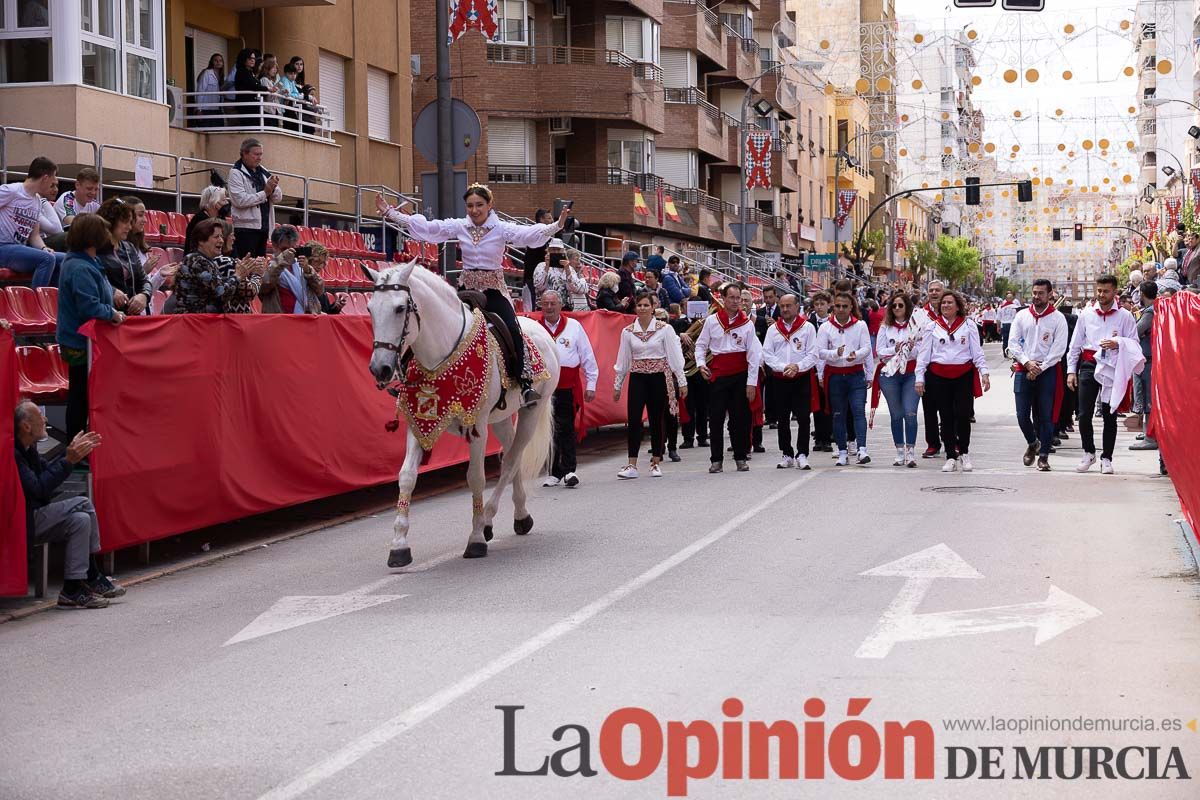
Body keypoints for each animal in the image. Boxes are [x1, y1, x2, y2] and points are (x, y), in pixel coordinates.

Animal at [362, 261, 559, 563]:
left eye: (399, 308)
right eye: (370, 308)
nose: (379, 369)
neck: (440, 353)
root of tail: (540, 327)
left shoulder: (476, 426)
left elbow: (476, 478)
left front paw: (476, 538)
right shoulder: (418, 423)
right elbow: (406, 477)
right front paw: (399, 545)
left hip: (532, 411)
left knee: (511, 461)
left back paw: (489, 521)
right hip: (501, 418)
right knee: (510, 455)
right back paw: (521, 516)